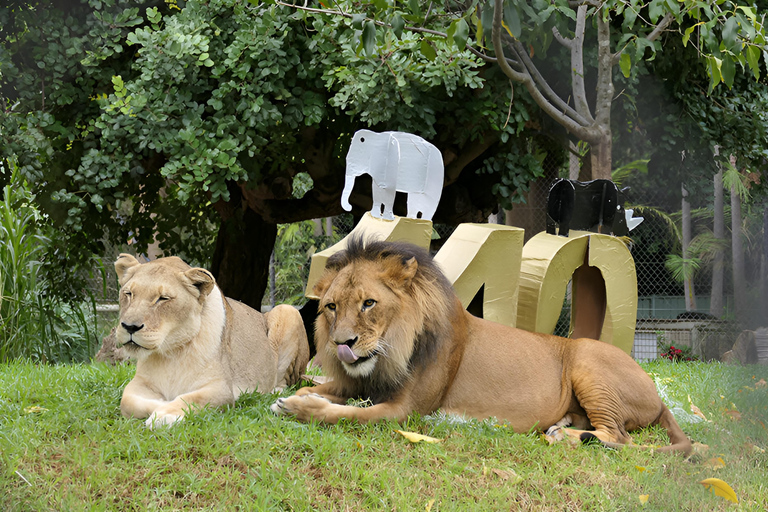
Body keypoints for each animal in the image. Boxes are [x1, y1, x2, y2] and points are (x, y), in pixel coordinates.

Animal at [115, 255, 308, 428]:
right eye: (128, 293)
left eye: (163, 298)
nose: (130, 327)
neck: (171, 352)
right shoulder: (141, 382)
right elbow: (127, 401)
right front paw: (162, 405)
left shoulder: (221, 388)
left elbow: (190, 398)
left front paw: (165, 414)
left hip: (287, 310)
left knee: (285, 382)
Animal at [272, 238, 696, 454]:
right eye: (331, 307)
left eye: (369, 303)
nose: (342, 344)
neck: (393, 350)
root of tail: (659, 396)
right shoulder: (363, 383)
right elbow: (320, 390)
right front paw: (295, 396)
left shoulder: (405, 411)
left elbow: (344, 415)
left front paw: (297, 407)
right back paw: (564, 425)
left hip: (589, 361)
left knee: (618, 436)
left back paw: (567, 436)